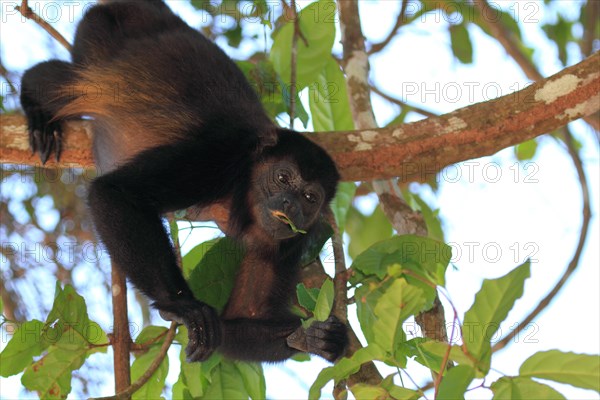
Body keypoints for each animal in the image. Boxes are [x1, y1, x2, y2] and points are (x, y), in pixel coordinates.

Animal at [21, 0, 346, 362]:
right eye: (282, 177)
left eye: (310, 198)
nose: (290, 204)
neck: (246, 184)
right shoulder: (216, 158)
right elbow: (116, 193)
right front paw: (183, 306)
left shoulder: (291, 241)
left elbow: (242, 318)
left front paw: (314, 337)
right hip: (100, 33)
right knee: (72, 83)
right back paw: (37, 100)